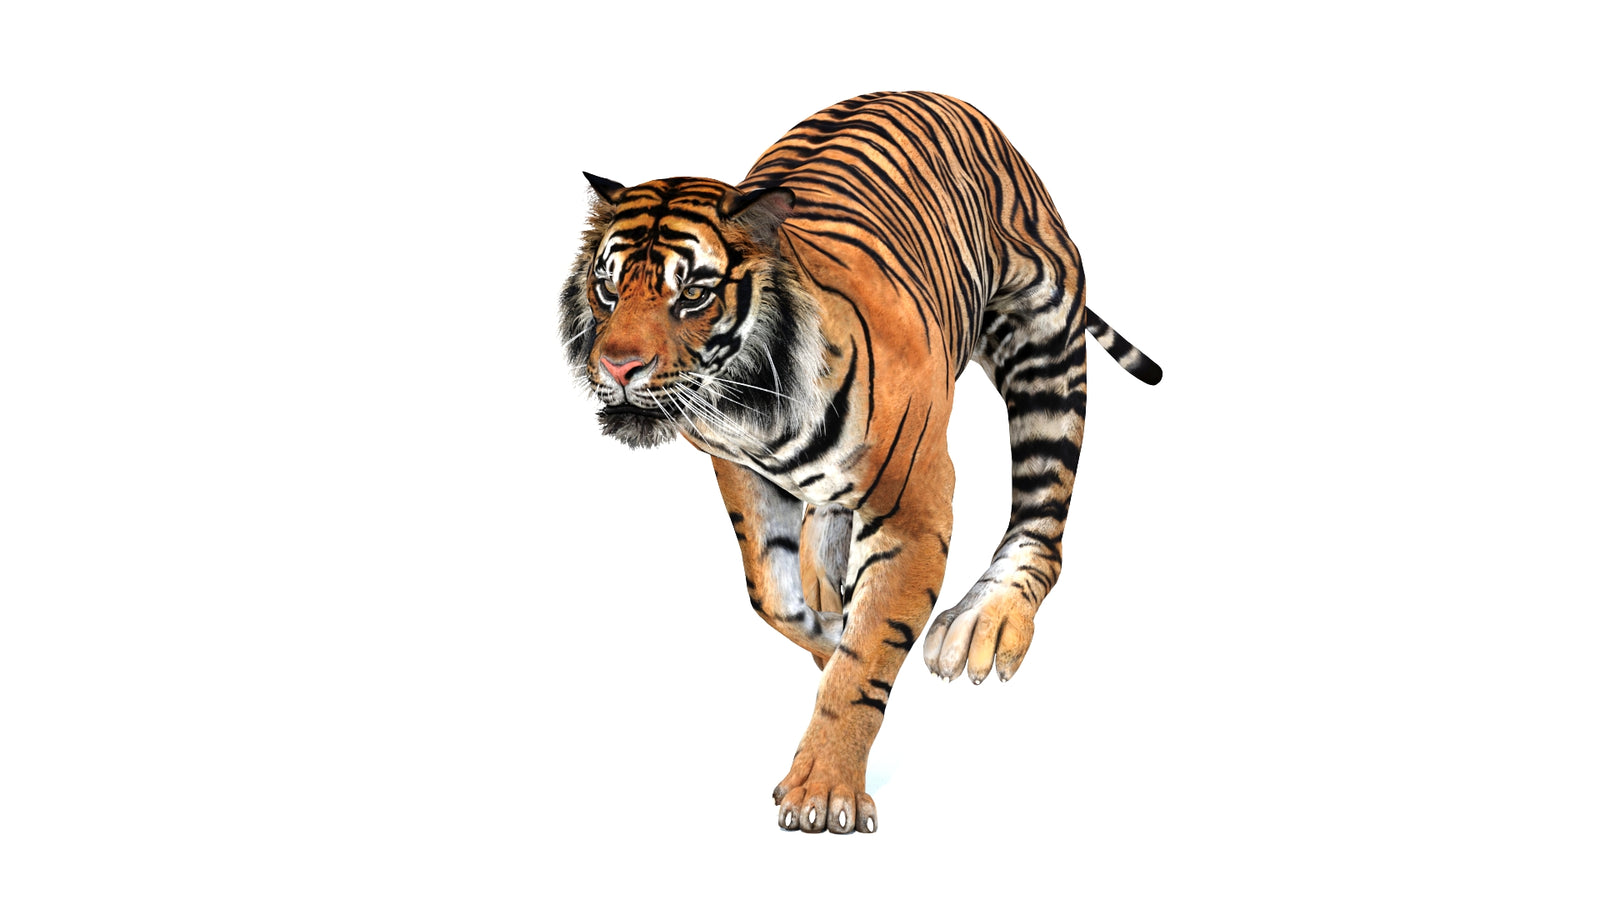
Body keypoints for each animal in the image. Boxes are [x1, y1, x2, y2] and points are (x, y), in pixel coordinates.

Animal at [558, 91, 1161, 834]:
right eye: (606, 288)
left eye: (693, 293)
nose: (617, 367)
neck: (748, 406)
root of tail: (949, 100)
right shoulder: (740, 469)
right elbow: (774, 597)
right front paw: (826, 629)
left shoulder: (916, 505)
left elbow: (865, 657)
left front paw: (824, 791)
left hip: (1044, 337)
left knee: (1044, 513)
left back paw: (987, 621)